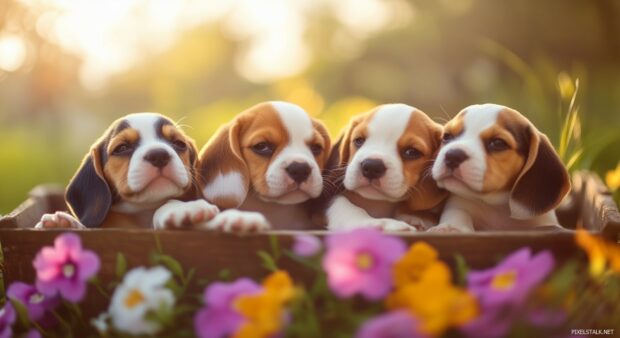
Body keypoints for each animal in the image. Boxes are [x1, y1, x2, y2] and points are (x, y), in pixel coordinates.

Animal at [324, 101, 446, 231]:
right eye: (359, 140)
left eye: (411, 152)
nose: (371, 167)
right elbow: (347, 208)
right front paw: (384, 223)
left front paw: (416, 217)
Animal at [432, 102, 572, 232]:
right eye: (447, 136)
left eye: (498, 143)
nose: (452, 155)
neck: (497, 207)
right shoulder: (459, 205)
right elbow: (458, 213)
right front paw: (451, 227)